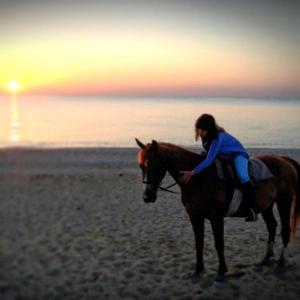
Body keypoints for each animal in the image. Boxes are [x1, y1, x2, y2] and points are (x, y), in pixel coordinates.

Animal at [136, 138, 300, 282]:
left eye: (154, 164)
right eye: (141, 166)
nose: (147, 196)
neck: (198, 178)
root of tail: (285, 160)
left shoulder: (216, 217)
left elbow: (219, 243)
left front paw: (222, 271)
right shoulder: (195, 217)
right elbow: (199, 243)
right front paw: (198, 271)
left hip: (284, 201)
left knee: (285, 230)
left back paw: (280, 262)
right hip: (267, 206)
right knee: (272, 226)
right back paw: (266, 259)